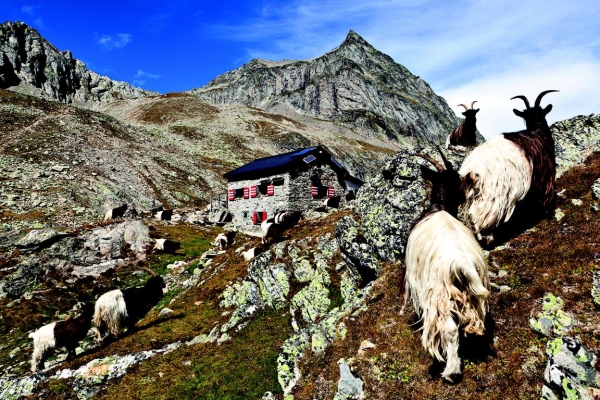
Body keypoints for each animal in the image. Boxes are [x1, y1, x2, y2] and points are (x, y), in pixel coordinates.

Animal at [400, 152, 490, 382]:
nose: (465, 197)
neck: (439, 206)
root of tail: (463, 263)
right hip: (474, 293)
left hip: (441, 294)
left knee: (450, 330)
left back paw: (451, 370)